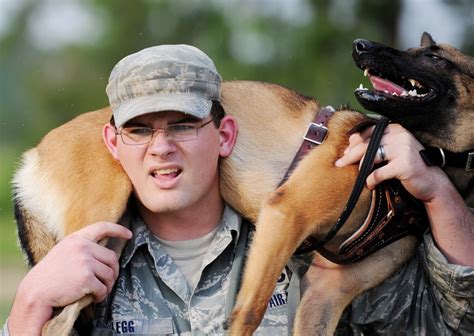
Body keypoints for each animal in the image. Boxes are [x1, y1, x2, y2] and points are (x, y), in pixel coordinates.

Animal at [12, 30, 472, 334]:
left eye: (434, 56)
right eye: (421, 52)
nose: (361, 46)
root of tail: (30, 157)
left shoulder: (327, 292)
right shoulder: (286, 214)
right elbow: (249, 312)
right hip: (95, 240)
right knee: (54, 325)